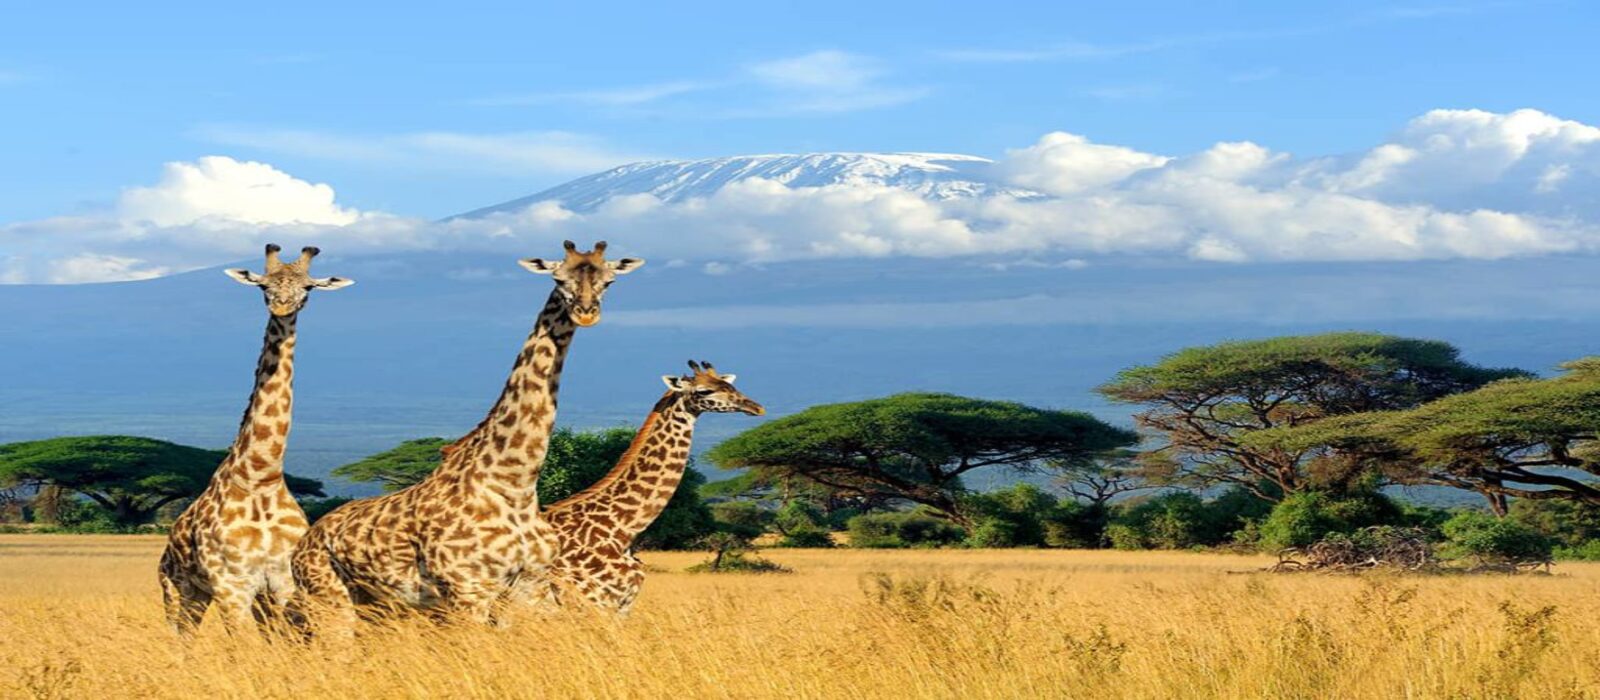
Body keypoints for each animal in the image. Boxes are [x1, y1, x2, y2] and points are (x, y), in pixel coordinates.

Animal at [158, 244, 354, 636]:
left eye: (308, 288)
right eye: (264, 285)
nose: (281, 307)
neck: (261, 477)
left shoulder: (282, 581)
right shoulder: (231, 584)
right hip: (178, 589)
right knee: (180, 638)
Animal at [290, 241, 643, 631]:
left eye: (609, 281)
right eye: (558, 278)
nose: (586, 313)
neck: (516, 483)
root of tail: (305, 540)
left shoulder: (528, 587)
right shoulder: (468, 590)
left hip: (374, 604)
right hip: (327, 597)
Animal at [541, 360, 764, 614]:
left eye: (730, 385)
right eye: (704, 391)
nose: (756, 407)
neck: (621, 530)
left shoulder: (621, 607)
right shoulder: (592, 603)